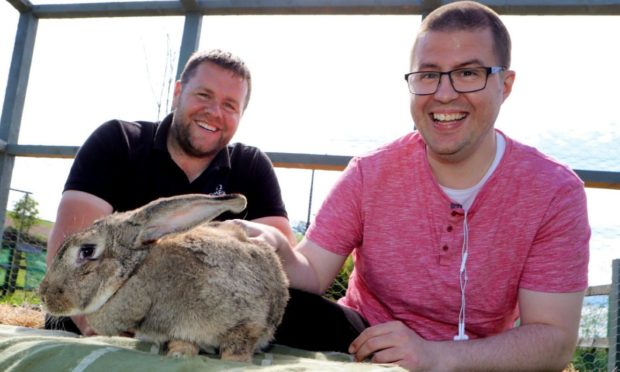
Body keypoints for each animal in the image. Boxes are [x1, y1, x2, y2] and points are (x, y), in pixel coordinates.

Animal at [39, 193, 290, 362]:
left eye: (87, 251)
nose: (43, 295)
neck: (136, 275)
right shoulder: (181, 331)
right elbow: (184, 342)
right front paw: (179, 354)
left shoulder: (247, 321)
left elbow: (236, 346)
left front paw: (233, 362)